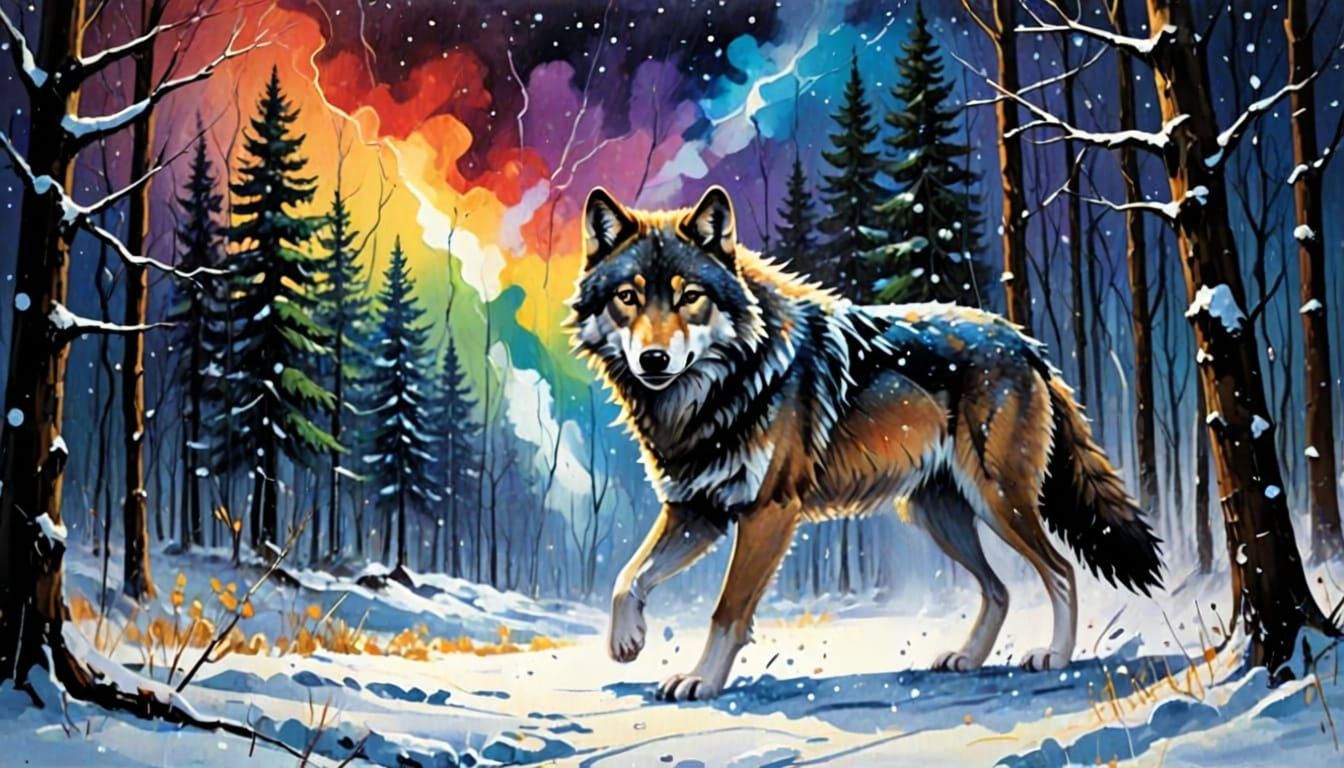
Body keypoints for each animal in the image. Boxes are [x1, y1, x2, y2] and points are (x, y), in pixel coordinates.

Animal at [568, 185, 1162, 702]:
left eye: (690, 297)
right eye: (627, 298)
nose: (653, 360)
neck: (723, 386)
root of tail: (1024, 342)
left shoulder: (768, 511)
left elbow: (726, 611)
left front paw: (701, 680)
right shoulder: (697, 511)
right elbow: (627, 577)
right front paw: (626, 641)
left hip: (998, 502)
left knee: (1059, 572)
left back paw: (1055, 656)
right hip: (938, 515)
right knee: (1000, 589)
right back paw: (967, 658)